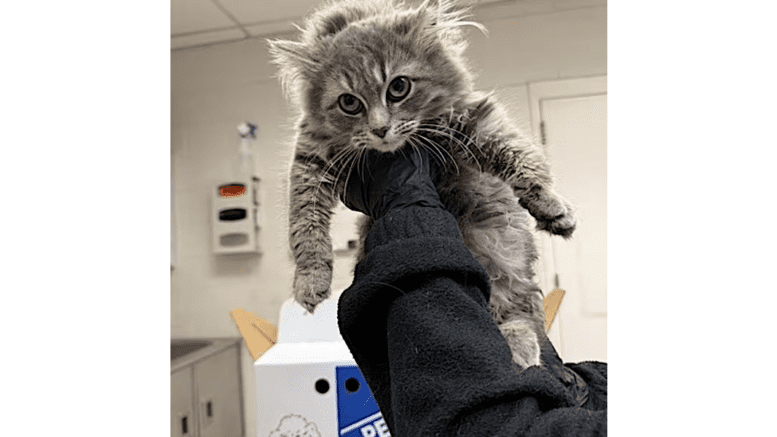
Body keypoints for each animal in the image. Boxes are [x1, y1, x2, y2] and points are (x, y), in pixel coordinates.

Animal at [270, 0, 572, 368]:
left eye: (398, 87)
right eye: (349, 103)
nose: (380, 129)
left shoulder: (470, 115)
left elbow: (520, 155)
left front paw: (553, 207)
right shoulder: (309, 159)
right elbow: (304, 227)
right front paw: (310, 280)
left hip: (505, 257)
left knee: (515, 306)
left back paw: (521, 346)